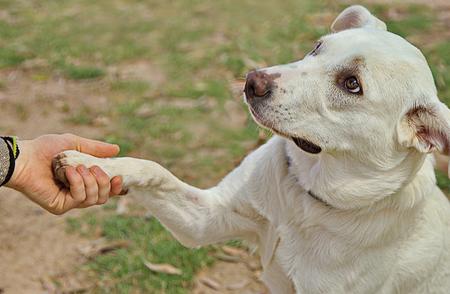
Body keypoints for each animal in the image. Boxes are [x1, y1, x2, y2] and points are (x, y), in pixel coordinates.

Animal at [55, 5, 450, 294]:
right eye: (317, 47)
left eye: (352, 84)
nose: (252, 80)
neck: (306, 198)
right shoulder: (206, 219)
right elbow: (153, 169)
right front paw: (89, 163)